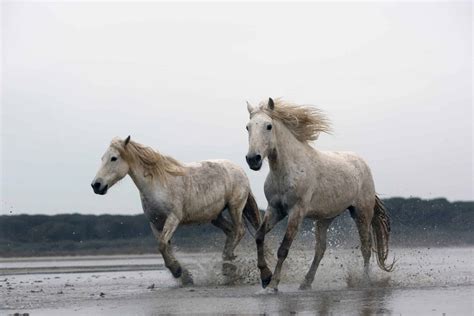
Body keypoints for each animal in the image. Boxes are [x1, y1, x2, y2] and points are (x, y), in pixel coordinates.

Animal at [90, 136, 262, 286]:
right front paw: (184, 276)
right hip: (216, 216)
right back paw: (229, 266)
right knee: (231, 232)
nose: (96, 185)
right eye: (102, 158)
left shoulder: (173, 218)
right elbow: (165, 247)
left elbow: (162, 245)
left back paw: (227, 265)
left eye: (114, 158)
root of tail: (240, 170)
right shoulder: (155, 223)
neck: (157, 185)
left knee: (239, 230)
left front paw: (177, 271)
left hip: (235, 207)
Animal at [244, 97, 392, 292]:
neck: (288, 170)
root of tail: (362, 164)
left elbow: (283, 248)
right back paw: (306, 283)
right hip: (325, 218)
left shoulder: (296, 211)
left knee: (366, 247)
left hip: (362, 213)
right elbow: (259, 236)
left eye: (268, 126)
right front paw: (265, 277)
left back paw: (364, 282)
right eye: (247, 127)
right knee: (320, 249)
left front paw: (273, 284)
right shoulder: (275, 209)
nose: (253, 159)